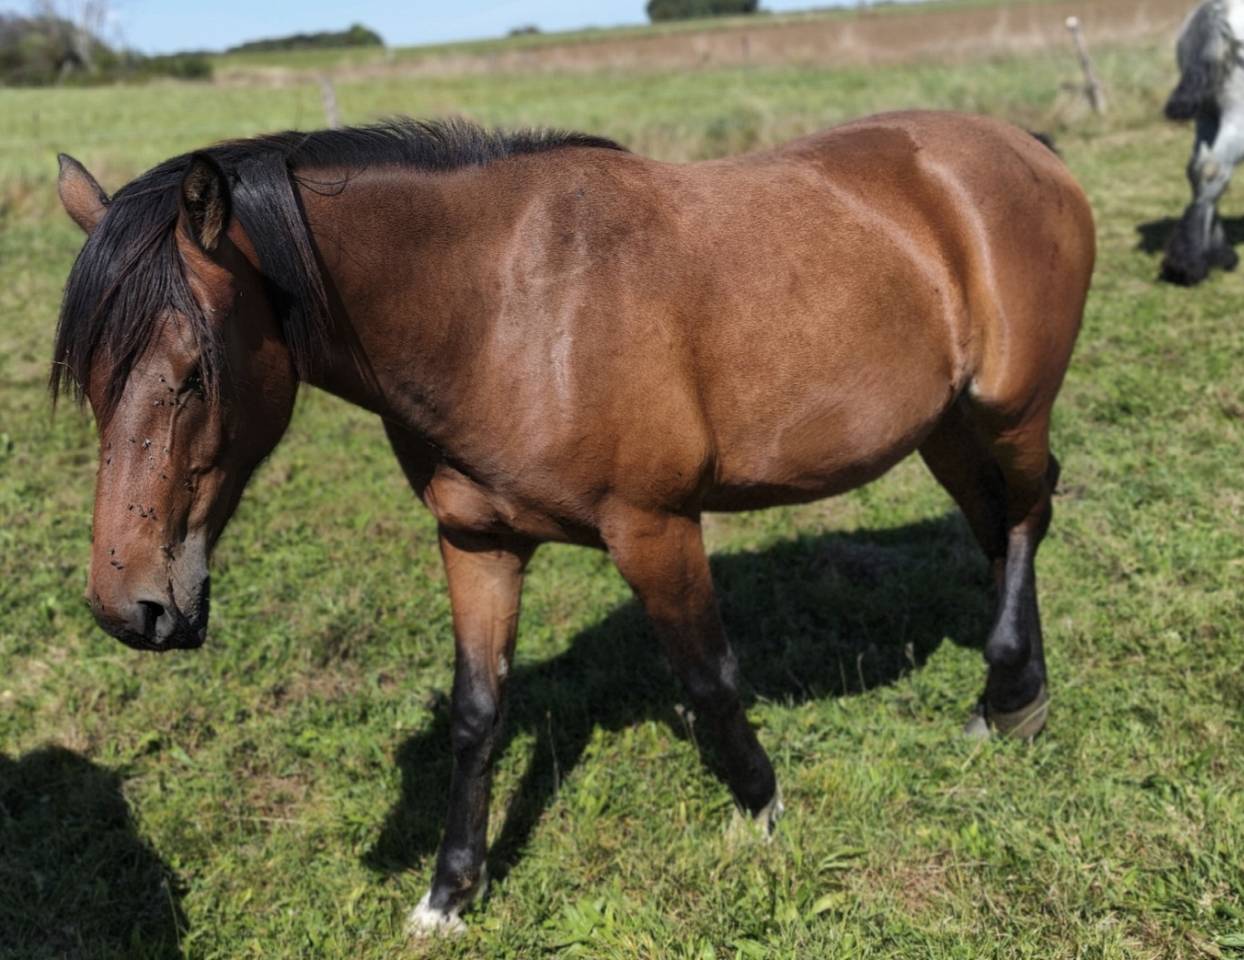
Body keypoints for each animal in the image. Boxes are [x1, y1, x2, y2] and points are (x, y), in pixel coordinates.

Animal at [52, 111, 1094, 935]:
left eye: (195, 372)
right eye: (93, 382)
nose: (131, 604)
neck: (501, 309)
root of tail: (1022, 149)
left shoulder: (656, 528)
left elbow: (710, 677)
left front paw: (760, 812)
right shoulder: (478, 542)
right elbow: (478, 712)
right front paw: (449, 894)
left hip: (1010, 410)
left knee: (1025, 516)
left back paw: (1011, 694)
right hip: (945, 424)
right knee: (995, 525)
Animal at [1162, 0, 1244, 284]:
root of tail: (1218, 10)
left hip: (1206, 115)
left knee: (1200, 169)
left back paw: (1216, 254)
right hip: (1236, 117)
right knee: (1214, 169)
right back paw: (1191, 263)